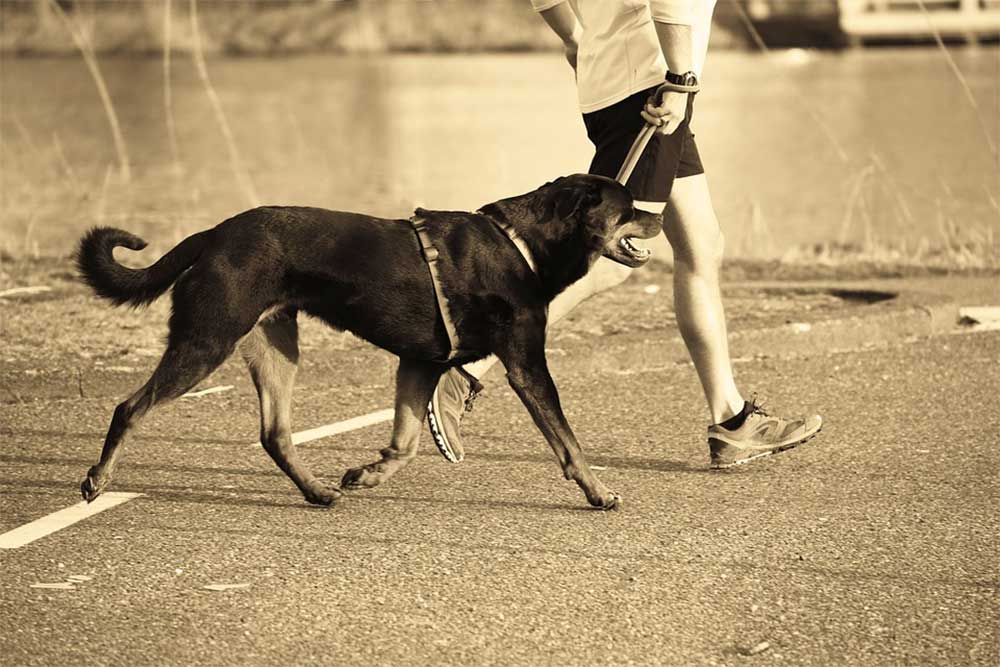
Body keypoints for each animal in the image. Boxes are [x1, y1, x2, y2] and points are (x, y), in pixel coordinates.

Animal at [76, 174, 664, 512]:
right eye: (630, 205)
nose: (660, 215)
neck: (521, 243)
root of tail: (215, 234)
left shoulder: (419, 363)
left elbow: (405, 443)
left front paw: (367, 474)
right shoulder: (526, 365)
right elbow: (568, 442)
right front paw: (599, 492)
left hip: (275, 344)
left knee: (274, 433)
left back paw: (316, 491)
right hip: (208, 338)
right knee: (130, 407)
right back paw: (98, 479)